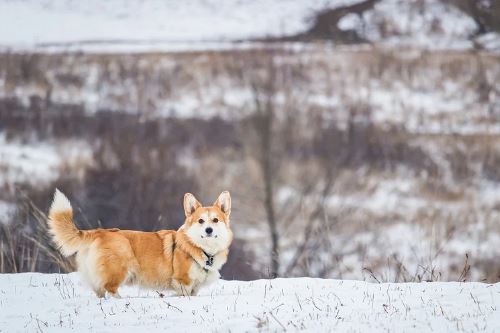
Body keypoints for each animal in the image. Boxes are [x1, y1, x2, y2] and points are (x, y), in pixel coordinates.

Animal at [47, 189, 233, 296]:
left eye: (215, 220)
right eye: (201, 221)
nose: (208, 230)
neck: (203, 249)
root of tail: (100, 231)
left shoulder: (195, 287)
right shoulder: (183, 282)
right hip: (119, 268)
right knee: (110, 289)